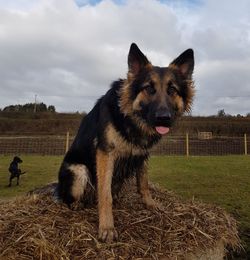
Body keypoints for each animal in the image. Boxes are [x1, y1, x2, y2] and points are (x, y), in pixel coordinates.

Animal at [57, 43, 194, 244]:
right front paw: (107, 227)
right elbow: (105, 194)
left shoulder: (143, 154)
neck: (131, 120)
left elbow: (143, 183)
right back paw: (77, 204)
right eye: (149, 88)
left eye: (172, 90)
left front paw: (150, 204)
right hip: (79, 170)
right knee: (69, 197)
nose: (164, 118)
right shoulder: (105, 153)